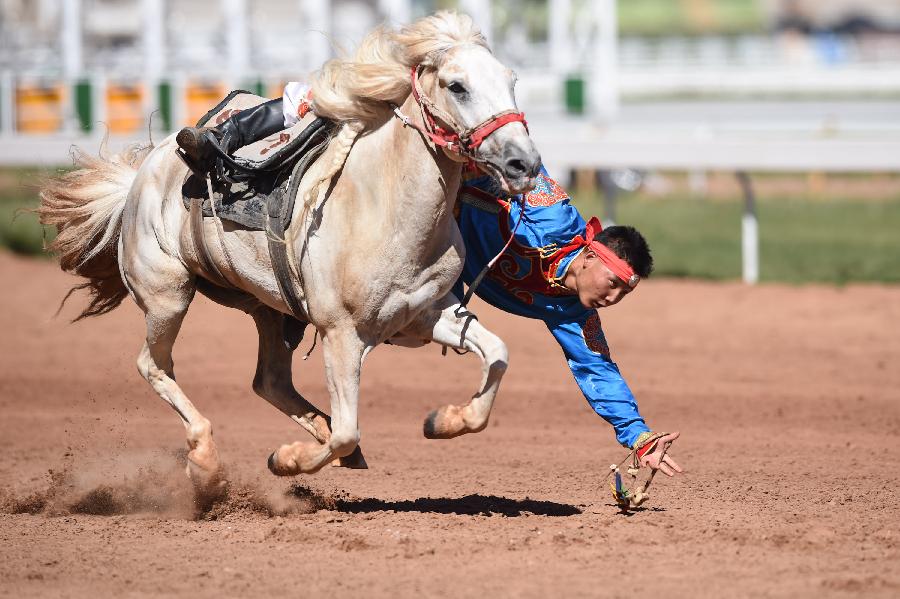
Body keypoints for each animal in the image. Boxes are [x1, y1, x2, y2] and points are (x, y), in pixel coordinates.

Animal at [38, 12, 536, 496]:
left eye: (511, 80)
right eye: (457, 86)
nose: (523, 164)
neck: (381, 204)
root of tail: (139, 178)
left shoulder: (426, 313)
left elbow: (498, 354)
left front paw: (444, 420)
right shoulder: (341, 334)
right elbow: (347, 431)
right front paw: (286, 460)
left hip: (271, 312)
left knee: (270, 381)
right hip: (168, 297)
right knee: (154, 365)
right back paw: (205, 463)